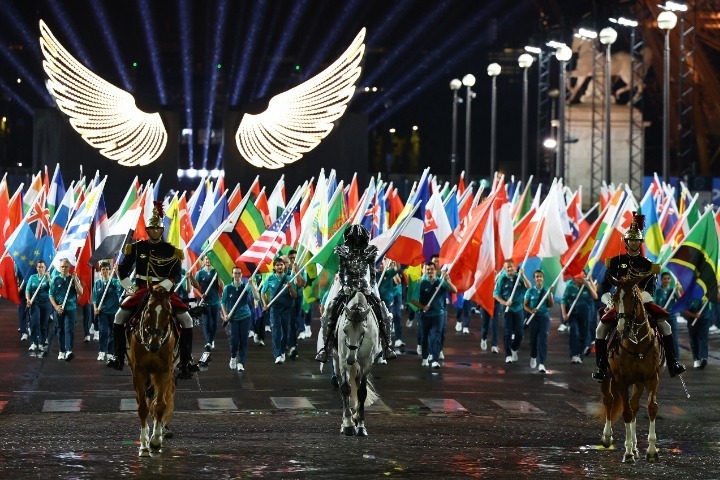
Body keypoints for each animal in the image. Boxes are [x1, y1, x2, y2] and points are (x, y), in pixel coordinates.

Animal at [128, 288, 177, 458]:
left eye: (168, 312)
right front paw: (143, 446)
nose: (154, 344)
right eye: (148, 311)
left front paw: (155, 441)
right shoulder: (138, 372)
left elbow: (160, 405)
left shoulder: (164, 371)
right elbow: (143, 407)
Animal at [334, 286, 382, 436]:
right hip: (336, 359)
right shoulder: (343, 360)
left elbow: (362, 392)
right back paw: (346, 421)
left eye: (363, 332)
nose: (351, 358)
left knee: (357, 381)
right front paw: (348, 425)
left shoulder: (367, 362)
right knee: (341, 384)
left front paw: (361, 426)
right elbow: (345, 388)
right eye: (344, 330)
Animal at [600, 274, 660, 464]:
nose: (622, 328)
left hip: (638, 383)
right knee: (609, 400)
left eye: (632, 298)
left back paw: (634, 446)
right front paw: (627, 453)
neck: (637, 344)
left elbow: (651, 408)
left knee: (634, 406)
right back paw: (607, 437)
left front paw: (651, 450)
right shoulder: (621, 380)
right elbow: (626, 412)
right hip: (606, 378)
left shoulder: (652, 378)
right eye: (614, 298)